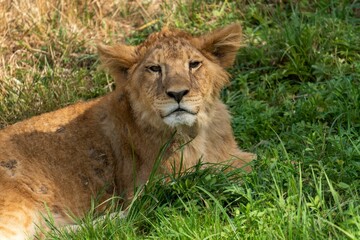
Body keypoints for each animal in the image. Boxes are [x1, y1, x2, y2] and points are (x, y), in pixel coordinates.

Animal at [0, 23, 255, 239]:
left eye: (194, 64)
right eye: (154, 68)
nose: (177, 94)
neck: (196, 132)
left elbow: (250, 164)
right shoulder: (153, 180)